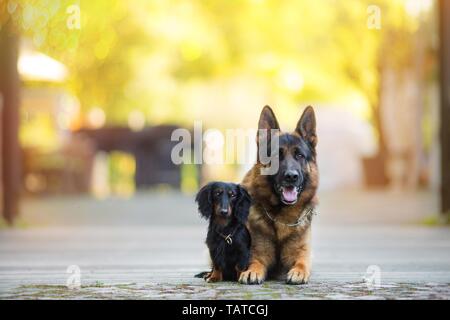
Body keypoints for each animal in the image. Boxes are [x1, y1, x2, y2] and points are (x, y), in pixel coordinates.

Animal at [237, 105, 318, 284]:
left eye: (299, 155)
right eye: (276, 156)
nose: (291, 176)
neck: (282, 216)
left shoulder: (302, 253)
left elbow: (302, 263)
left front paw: (298, 272)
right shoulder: (257, 253)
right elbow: (255, 262)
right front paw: (251, 272)